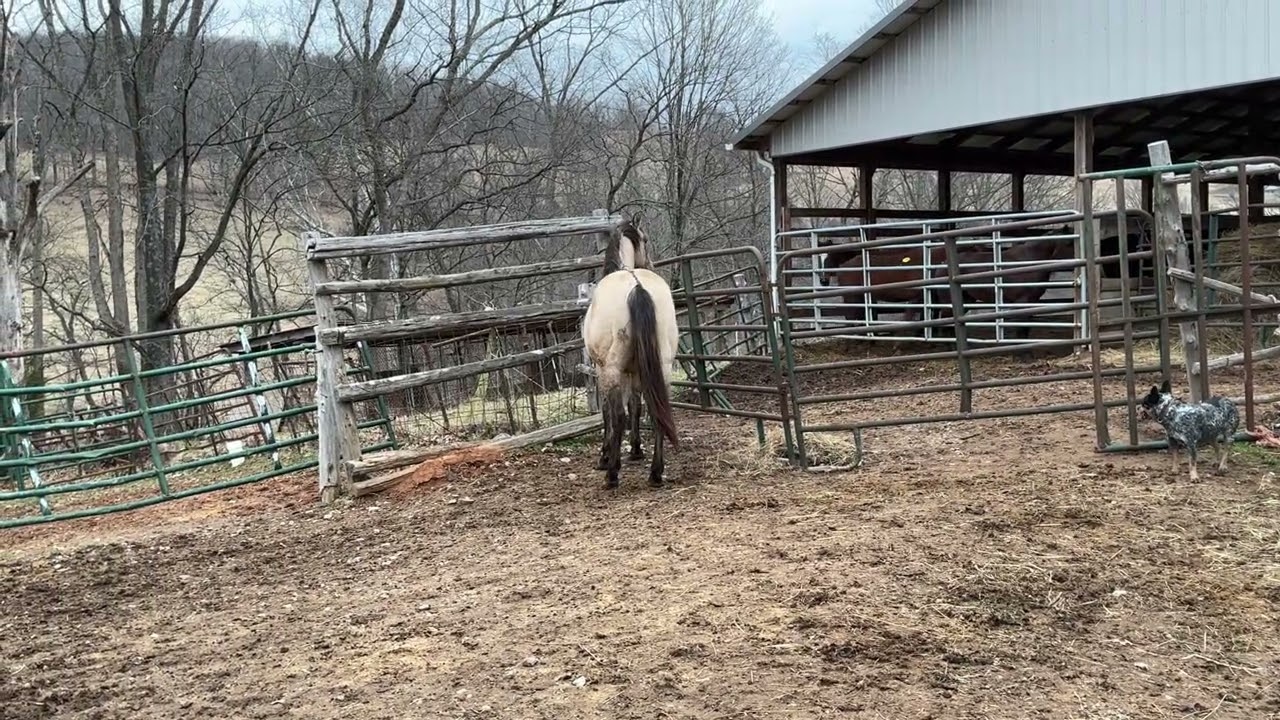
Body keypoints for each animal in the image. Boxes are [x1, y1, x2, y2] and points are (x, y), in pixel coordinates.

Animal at [582, 218, 680, 489]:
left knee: (618, 415)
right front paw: (636, 450)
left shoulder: (602, 369)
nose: (651, 263)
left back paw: (612, 474)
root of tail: (637, 285)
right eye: (646, 240)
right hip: (663, 367)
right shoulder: (635, 371)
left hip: (613, 369)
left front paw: (605, 456)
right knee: (658, 412)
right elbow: (637, 405)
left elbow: (609, 412)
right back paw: (656, 473)